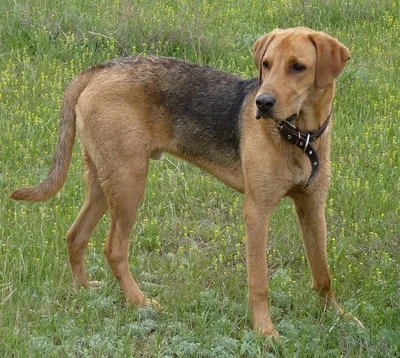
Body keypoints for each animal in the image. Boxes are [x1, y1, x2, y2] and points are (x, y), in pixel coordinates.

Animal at [10, 26, 350, 338]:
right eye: (266, 65)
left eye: (298, 67)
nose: (262, 103)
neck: (300, 136)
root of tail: (100, 69)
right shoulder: (257, 211)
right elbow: (259, 282)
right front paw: (265, 333)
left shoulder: (312, 207)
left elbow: (323, 273)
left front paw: (339, 317)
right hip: (129, 181)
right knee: (114, 249)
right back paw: (140, 302)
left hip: (104, 180)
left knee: (75, 236)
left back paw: (83, 290)